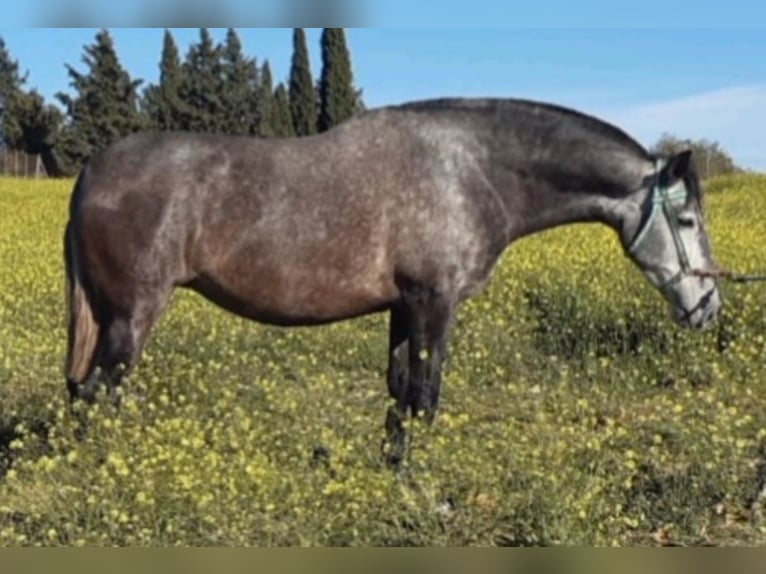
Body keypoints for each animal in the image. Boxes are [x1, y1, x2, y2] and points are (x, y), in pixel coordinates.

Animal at [61, 97, 728, 460]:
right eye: (688, 220)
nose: (709, 306)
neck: (469, 170)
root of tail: (93, 173)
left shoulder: (405, 306)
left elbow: (400, 396)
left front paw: (395, 474)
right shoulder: (435, 302)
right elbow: (425, 397)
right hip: (132, 316)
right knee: (97, 394)